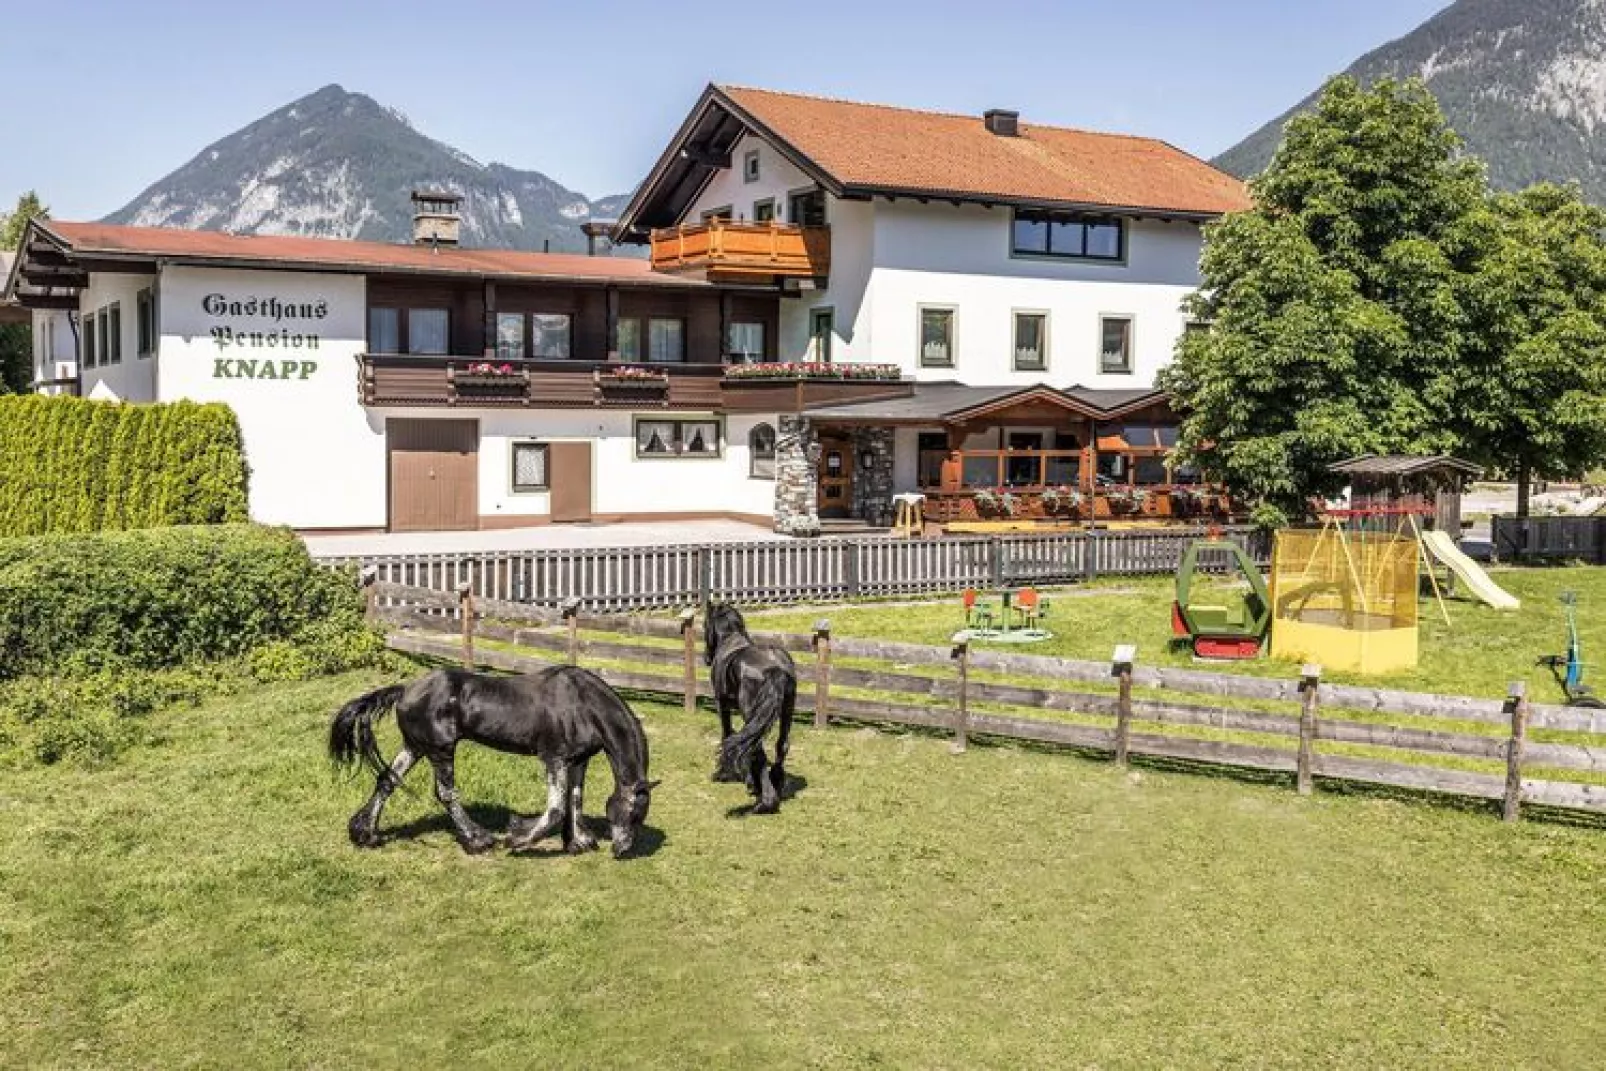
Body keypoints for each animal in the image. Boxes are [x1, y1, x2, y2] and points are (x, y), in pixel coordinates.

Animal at [329, 664, 655, 860]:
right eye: (632, 813)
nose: (622, 850)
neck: (582, 705)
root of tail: (405, 690)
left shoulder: (578, 760)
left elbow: (575, 800)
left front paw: (579, 842)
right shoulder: (554, 758)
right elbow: (555, 809)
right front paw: (517, 837)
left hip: (415, 747)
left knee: (387, 781)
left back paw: (365, 834)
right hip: (440, 750)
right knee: (446, 794)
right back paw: (478, 840)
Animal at [706, 603, 799, 812]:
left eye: (705, 625)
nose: (706, 659)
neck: (730, 640)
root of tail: (776, 668)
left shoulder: (721, 704)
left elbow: (727, 734)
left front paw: (724, 773)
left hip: (749, 712)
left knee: (757, 749)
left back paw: (765, 802)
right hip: (786, 711)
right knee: (781, 745)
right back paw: (775, 784)